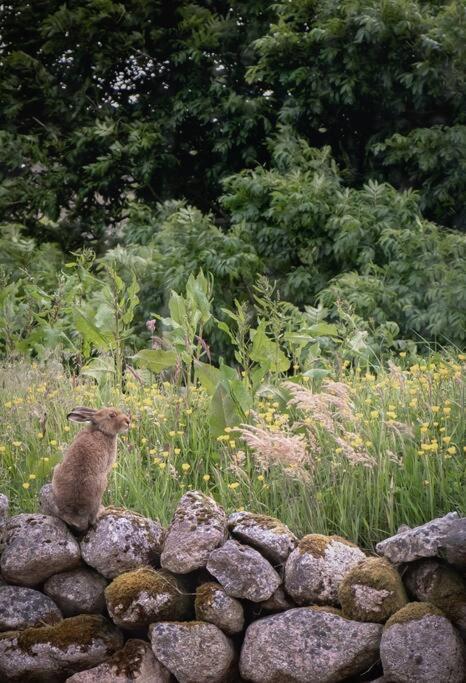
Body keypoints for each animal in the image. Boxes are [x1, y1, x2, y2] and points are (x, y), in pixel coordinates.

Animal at [50, 406, 130, 536]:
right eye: (112, 415)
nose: (128, 421)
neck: (101, 430)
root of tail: (75, 517)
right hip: (101, 485)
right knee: (93, 520)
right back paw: (104, 510)